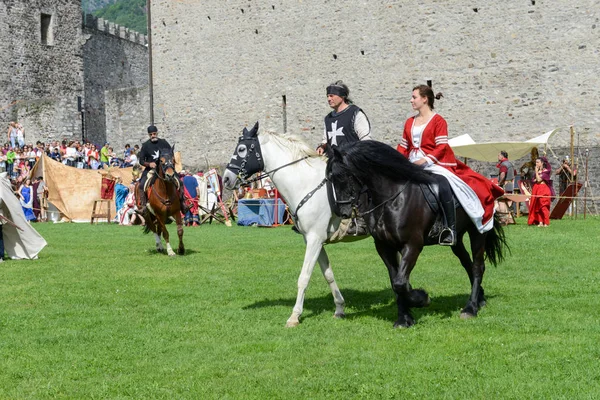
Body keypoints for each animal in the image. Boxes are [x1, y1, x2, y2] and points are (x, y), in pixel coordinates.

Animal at [224, 122, 368, 328]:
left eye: (242, 149)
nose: (226, 178)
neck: (306, 184)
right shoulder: (314, 240)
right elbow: (328, 274)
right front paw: (339, 308)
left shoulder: (315, 239)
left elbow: (304, 277)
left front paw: (295, 316)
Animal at [326, 141, 508, 328]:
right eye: (329, 179)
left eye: (344, 176)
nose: (343, 212)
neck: (392, 199)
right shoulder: (384, 247)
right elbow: (396, 282)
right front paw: (404, 318)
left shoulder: (412, 244)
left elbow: (400, 283)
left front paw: (421, 299)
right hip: (456, 239)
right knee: (467, 263)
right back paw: (480, 298)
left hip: (478, 231)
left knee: (478, 266)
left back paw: (470, 308)